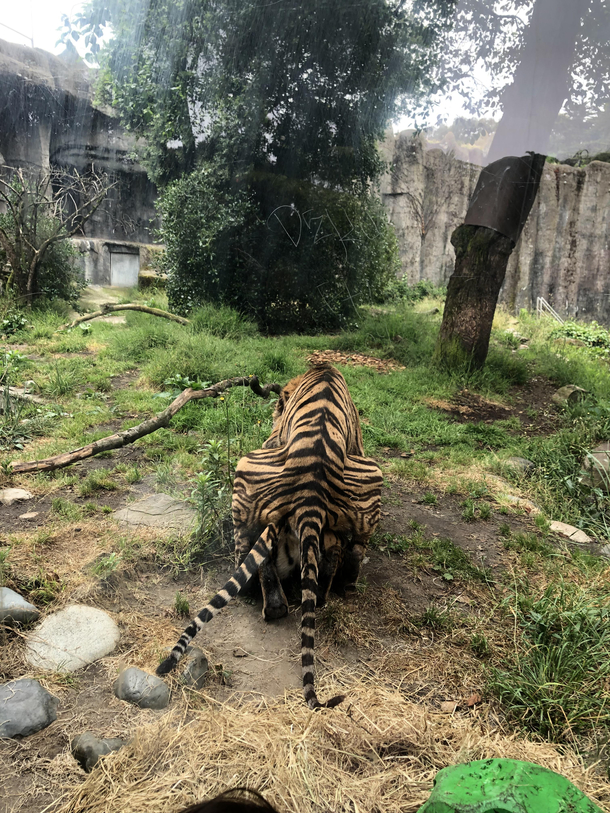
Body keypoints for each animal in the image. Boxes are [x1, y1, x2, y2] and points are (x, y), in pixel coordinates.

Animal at [157, 364, 380, 708]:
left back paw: (262, 594)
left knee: (248, 548)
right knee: (341, 553)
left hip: (249, 466)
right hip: (364, 484)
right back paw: (334, 588)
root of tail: (310, 489)